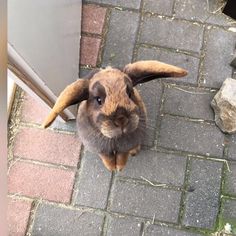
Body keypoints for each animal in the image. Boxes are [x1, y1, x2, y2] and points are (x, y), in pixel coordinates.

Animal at [41, 60, 187, 171]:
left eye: (129, 93)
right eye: (98, 100)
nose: (121, 120)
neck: (115, 140)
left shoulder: (125, 148)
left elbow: (122, 157)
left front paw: (119, 168)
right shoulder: (102, 150)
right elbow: (107, 158)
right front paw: (112, 168)